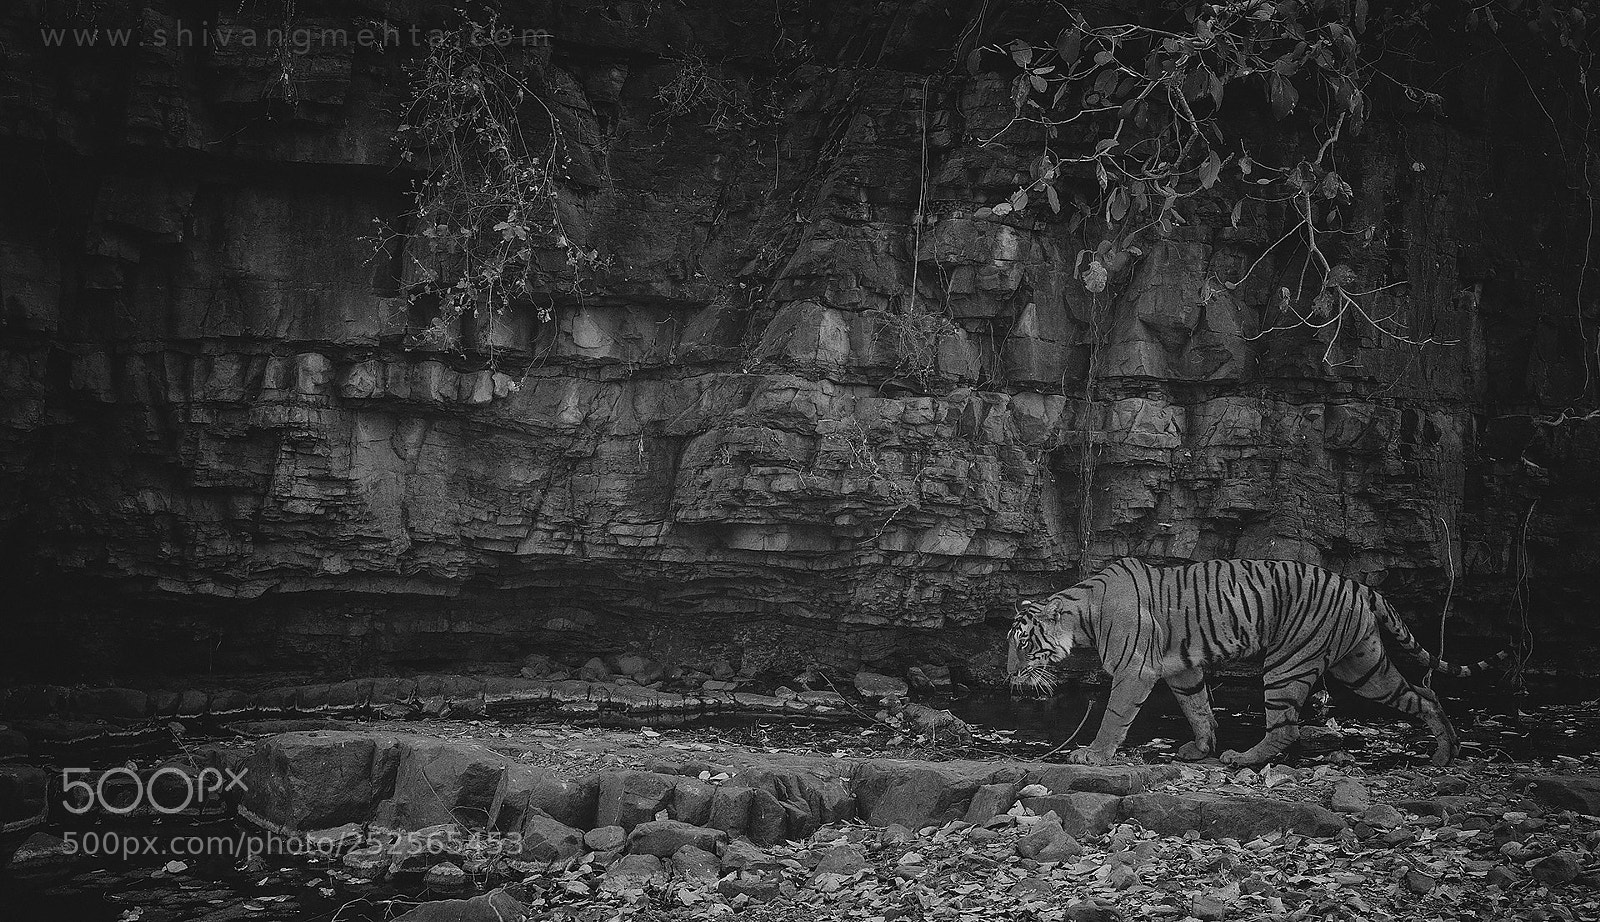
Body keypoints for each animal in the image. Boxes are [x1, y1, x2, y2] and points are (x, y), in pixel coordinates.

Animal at [1007, 557, 1511, 767]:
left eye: (1024, 646)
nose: (1009, 675)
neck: (1083, 615)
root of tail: (1356, 583)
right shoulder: (1182, 669)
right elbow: (1198, 708)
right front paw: (1201, 748)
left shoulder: (1135, 670)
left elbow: (1114, 716)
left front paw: (1092, 754)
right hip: (1363, 666)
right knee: (1423, 693)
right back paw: (1446, 752)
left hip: (1287, 665)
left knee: (1285, 727)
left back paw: (1242, 758)